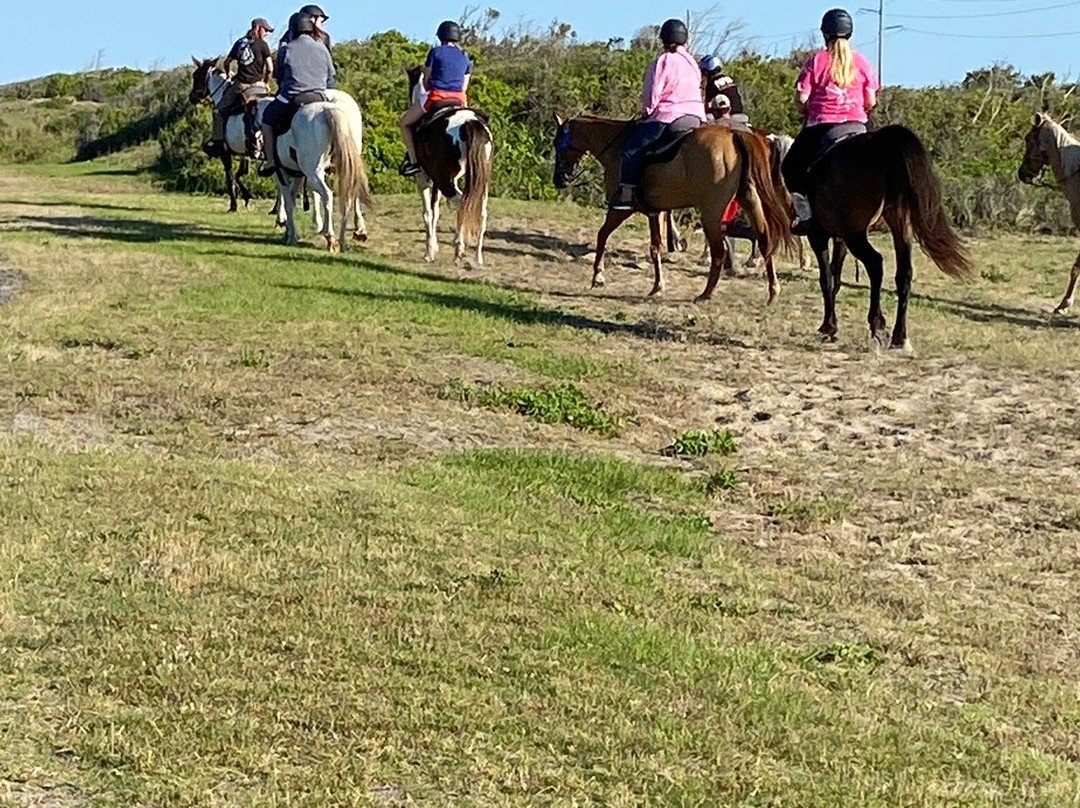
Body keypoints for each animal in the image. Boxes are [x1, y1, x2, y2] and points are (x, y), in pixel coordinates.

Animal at [406, 64, 494, 264]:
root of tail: (470, 123)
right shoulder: (437, 181)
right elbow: (435, 210)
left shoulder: (423, 177)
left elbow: (427, 213)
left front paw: (430, 251)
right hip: (480, 181)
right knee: (480, 211)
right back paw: (477, 256)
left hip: (446, 181)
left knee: (463, 203)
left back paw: (459, 247)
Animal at [552, 115, 799, 302]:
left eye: (556, 143)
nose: (558, 180)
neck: (617, 148)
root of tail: (734, 135)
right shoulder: (655, 211)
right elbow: (655, 247)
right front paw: (657, 286)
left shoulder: (621, 208)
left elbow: (602, 234)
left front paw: (598, 277)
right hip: (749, 200)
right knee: (764, 239)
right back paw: (773, 291)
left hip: (711, 212)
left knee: (719, 251)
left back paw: (706, 293)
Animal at [799, 123, 976, 347]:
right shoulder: (840, 238)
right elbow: (835, 278)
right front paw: (831, 327)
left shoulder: (819, 236)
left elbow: (827, 279)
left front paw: (828, 327)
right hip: (900, 227)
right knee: (904, 274)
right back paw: (899, 336)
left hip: (857, 235)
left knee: (875, 263)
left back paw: (877, 325)